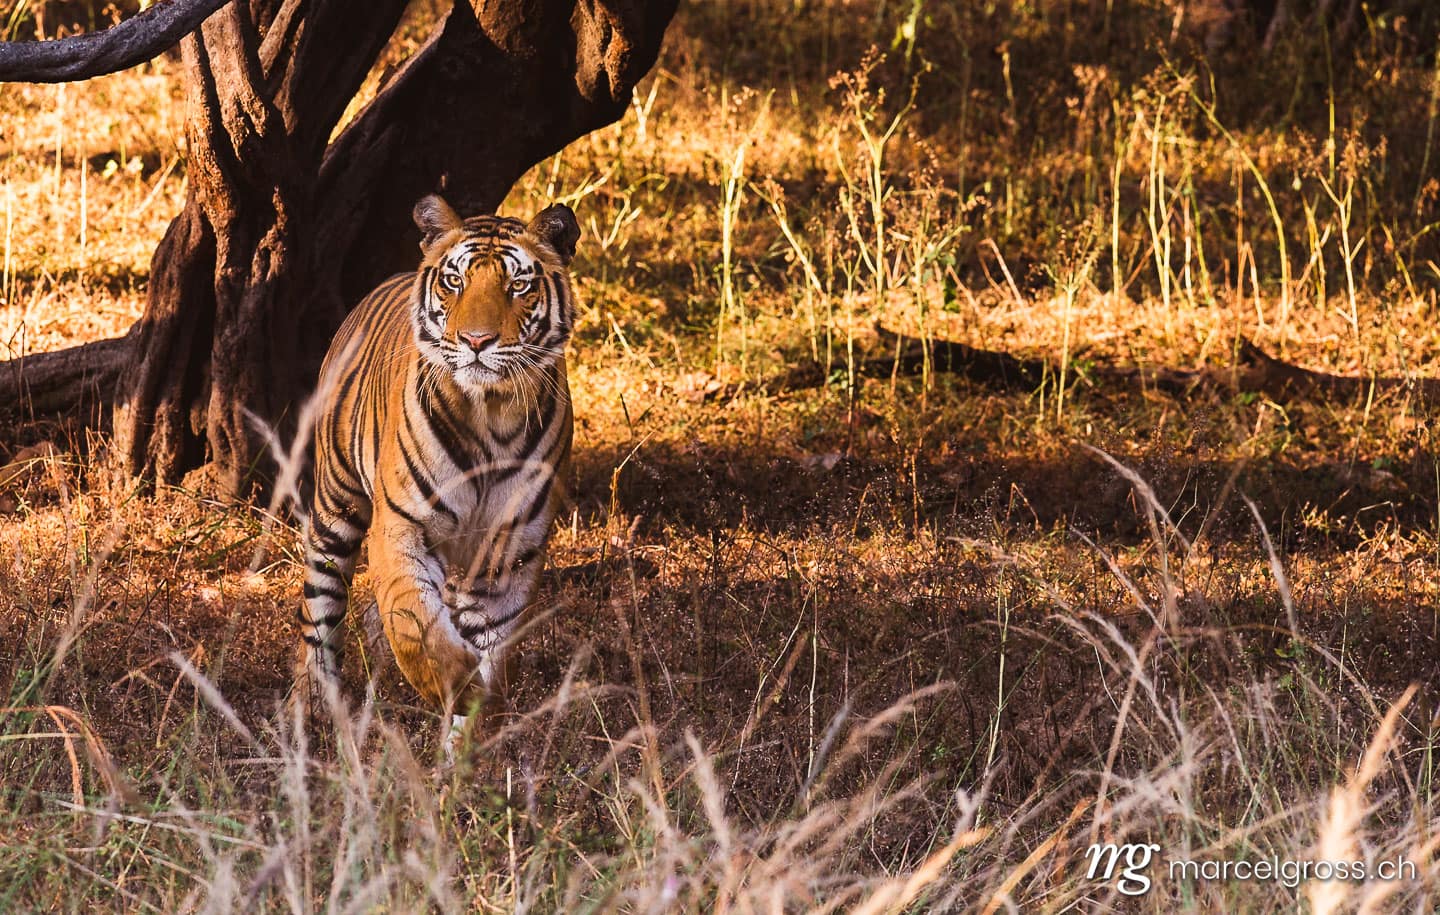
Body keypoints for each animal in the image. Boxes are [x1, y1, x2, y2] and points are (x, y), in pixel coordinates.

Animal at [296, 193, 579, 753]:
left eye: (518, 285)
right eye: (454, 281)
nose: (476, 340)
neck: (491, 414)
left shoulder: (508, 551)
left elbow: (492, 648)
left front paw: (467, 746)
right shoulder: (401, 526)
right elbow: (414, 626)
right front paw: (457, 683)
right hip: (335, 507)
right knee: (320, 605)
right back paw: (313, 707)